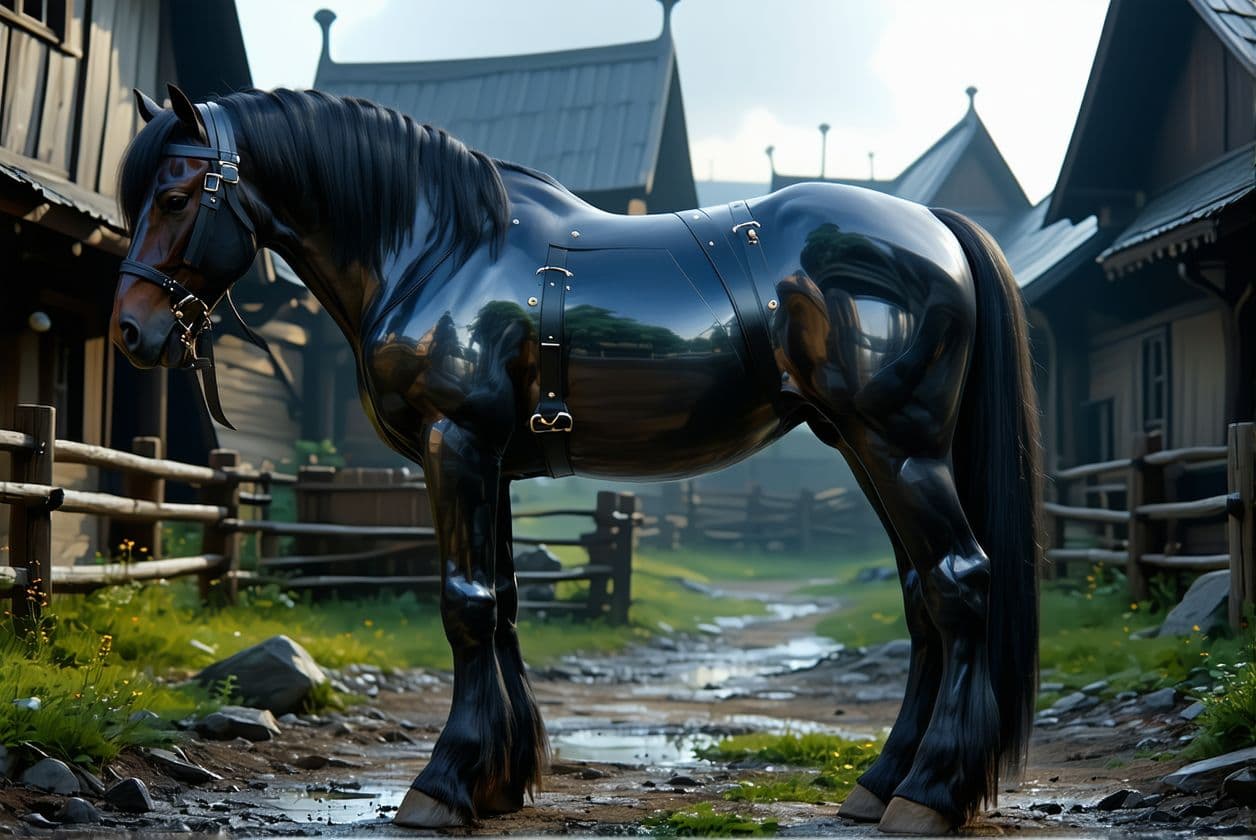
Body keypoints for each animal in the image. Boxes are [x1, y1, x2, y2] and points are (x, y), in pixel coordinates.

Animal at [111, 85, 1040, 834]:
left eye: (177, 194)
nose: (130, 331)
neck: (442, 246)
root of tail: (934, 228)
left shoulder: (457, 444)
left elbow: (466, 605)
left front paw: (443, 784)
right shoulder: (493, 463)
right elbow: (504, 604)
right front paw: (498, 778)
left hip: (897, 444)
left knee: (958, 583)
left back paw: (931, 793)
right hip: (864, 447)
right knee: (922, 599)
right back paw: (882, 783)